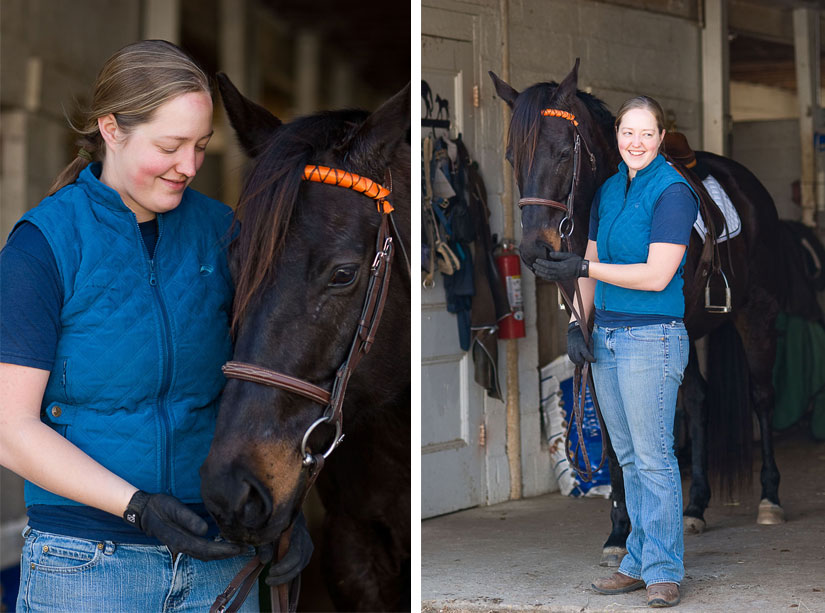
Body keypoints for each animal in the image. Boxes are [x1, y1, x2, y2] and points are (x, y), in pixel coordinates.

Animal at [490, 61, 816, 564]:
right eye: (512, 156)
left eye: (564, 153)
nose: (534, 249)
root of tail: (747, 183)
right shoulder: (593, 348)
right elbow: (613, 436)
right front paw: (618, 533)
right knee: (699, 401)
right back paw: (696, 507)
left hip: (755, 315)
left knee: (762, 397)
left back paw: (769, 499)